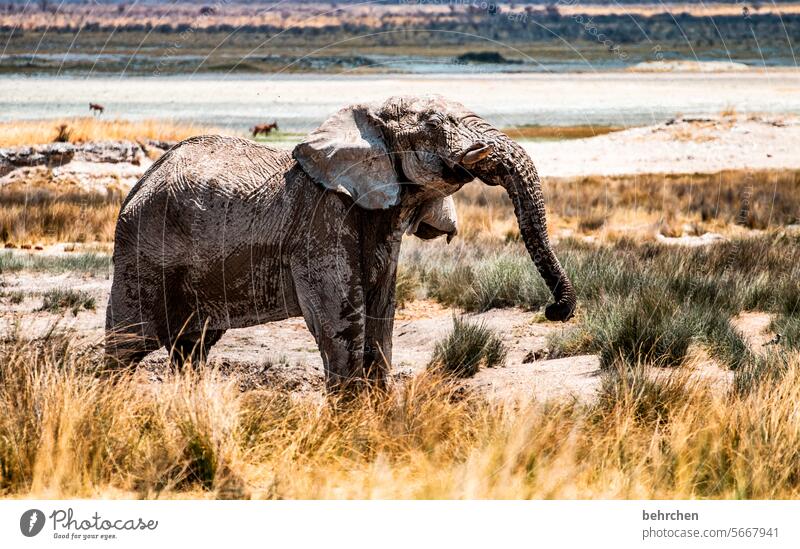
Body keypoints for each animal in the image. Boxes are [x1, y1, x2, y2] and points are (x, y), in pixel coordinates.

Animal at [106, 96, 576, 392]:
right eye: (433, 122)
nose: (554, 310)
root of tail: (141, 179)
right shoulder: (323, 222)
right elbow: (342, 320)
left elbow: (382, 317)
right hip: (143, 249)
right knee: (129, 342)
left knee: (191, 347)